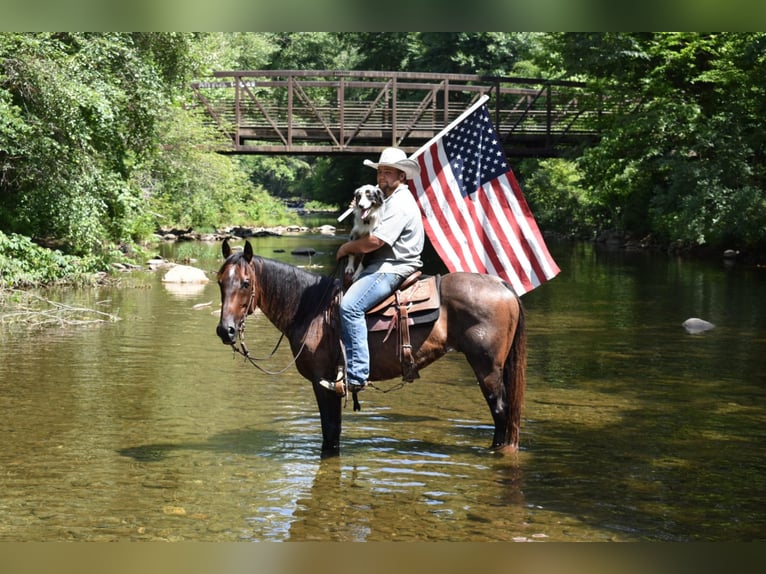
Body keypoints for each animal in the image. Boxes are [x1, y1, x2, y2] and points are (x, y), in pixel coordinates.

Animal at [216, 240, 528, 460]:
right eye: (220, 282)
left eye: (245, 283)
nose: (225, 330)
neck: (310, 310)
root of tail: (502, 284)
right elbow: (334, 432)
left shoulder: (323, 382)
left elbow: (330, 433)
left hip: (486, 367)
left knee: (501, 411)